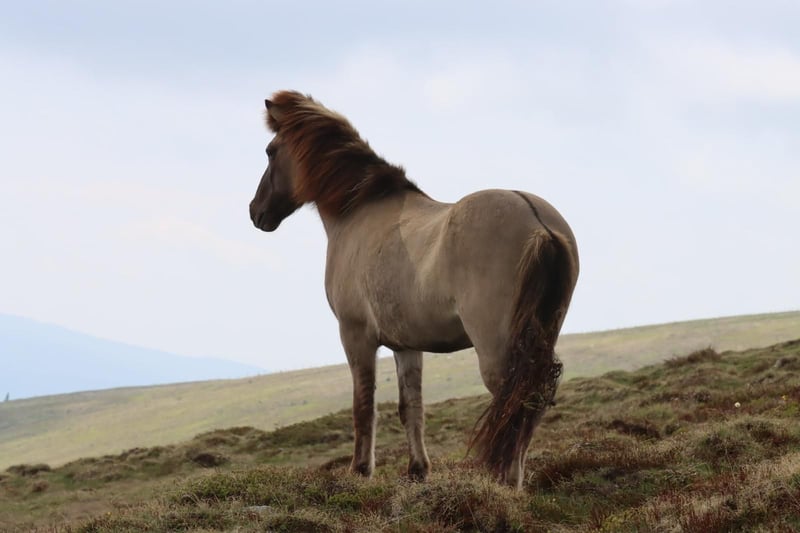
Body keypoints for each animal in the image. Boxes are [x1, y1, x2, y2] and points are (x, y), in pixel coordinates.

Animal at [249, 91, 579, 489]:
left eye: (270, 151)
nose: (256, 212)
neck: (358, 209)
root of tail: (538, 221)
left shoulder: (355, 335)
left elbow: (364, 407)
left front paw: (360, 470)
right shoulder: (406, 345)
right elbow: (412, 408)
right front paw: (418, 470)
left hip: (496, 348)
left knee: (515, 398)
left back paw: (504, 481)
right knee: (532, 399)